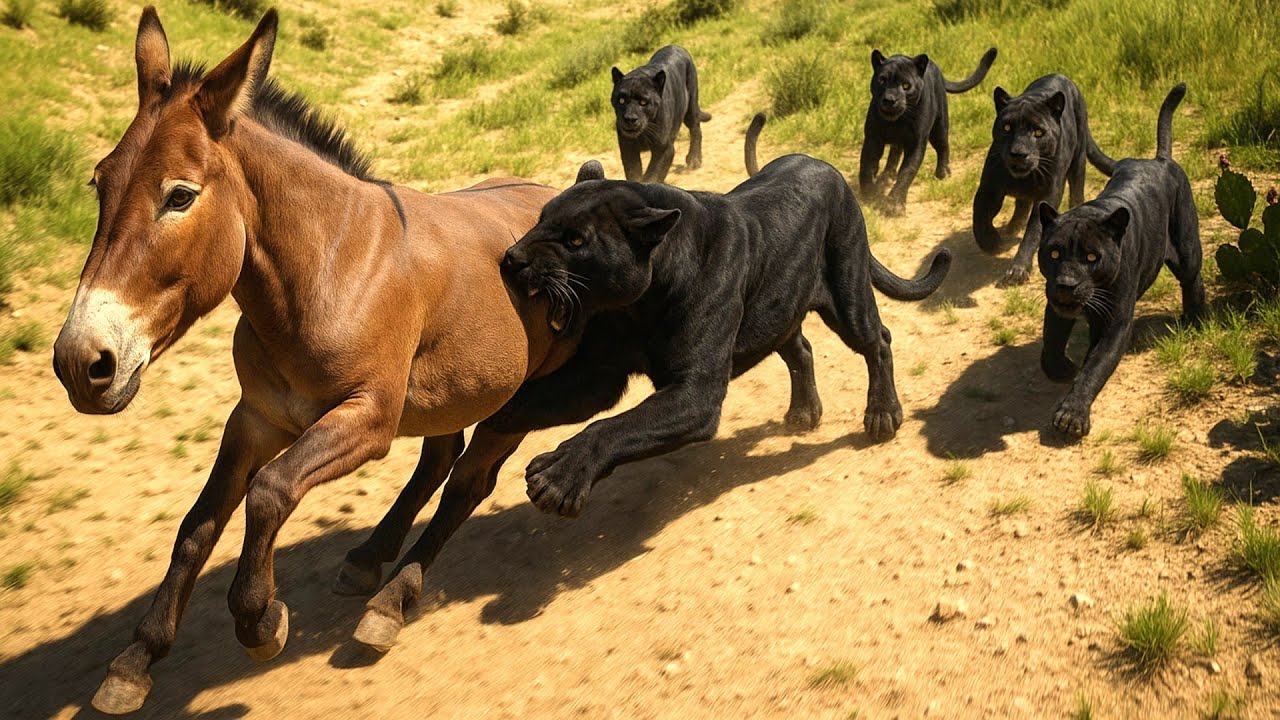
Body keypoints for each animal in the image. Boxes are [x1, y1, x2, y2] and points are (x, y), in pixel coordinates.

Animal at [51, 8, 569, 714]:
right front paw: (135, 661)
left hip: (518, 400)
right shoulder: (257, 417)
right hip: (448, 390)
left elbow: (269, 491)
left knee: (468, 484)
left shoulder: (367, 422)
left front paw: (259, 617)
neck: (328, 267)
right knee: (440, 457)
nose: (81, 362)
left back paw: (391, 602)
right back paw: (369, 559)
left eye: (179, 197)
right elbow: (197, 525)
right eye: (98, 183)